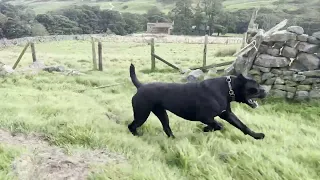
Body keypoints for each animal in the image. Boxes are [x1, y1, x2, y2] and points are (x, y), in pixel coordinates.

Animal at [127, 64, 268, 140]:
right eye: (256, 87)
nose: (266, 91)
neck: (228, 88)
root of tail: (140, 86)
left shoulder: (227, 114)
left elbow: (242, 125)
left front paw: (257, 135)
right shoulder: (205, 117)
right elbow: (219, 125)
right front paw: (205, 129)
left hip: (161, 113)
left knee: (166, 127)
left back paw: (174, 140)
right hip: (142, 114)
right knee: (131, 126)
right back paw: (138, 136)